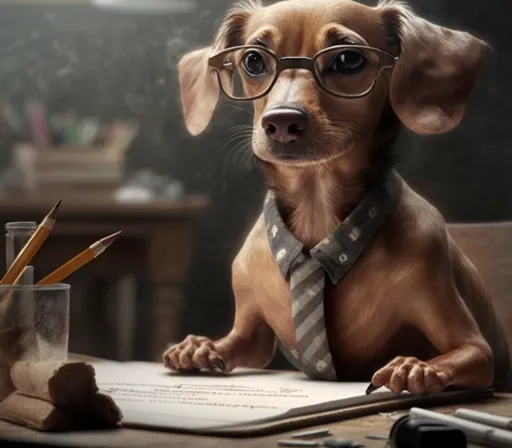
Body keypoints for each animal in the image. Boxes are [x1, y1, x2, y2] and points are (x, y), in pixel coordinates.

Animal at [163, 0, 512, 392]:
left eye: (348, 59)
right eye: (253, 60)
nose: (281, 122)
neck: (317, 215)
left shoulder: (473, 344)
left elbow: (466, 353)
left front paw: (416, 367)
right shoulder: (251, 336)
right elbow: (237, 344)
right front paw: (199, 346)